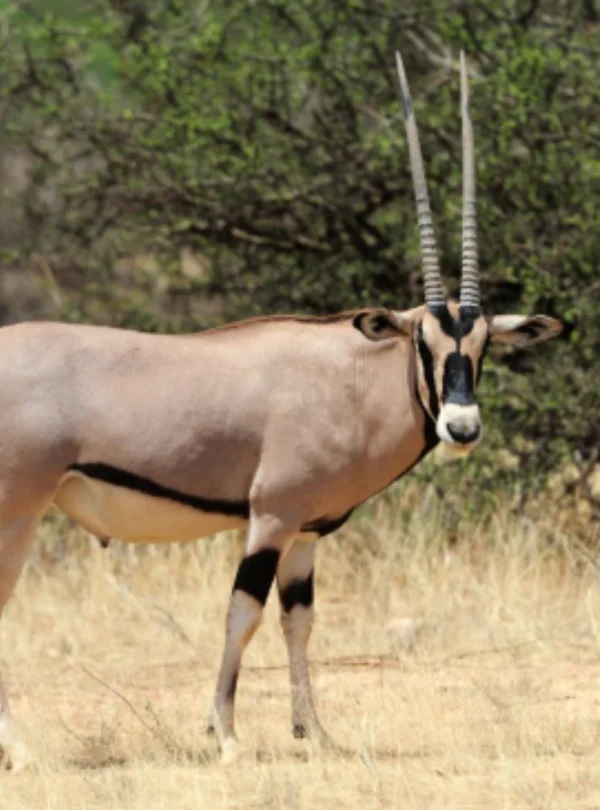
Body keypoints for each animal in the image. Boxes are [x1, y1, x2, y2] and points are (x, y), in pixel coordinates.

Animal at [0, 52, 562, 771]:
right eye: (423, 340)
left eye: (485, 342)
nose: (461, 427)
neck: (349, 378)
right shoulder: (268, 519)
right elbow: (243, 616)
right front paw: (226, 735)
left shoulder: (306, 533)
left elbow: (300, 621)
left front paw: (315, 732)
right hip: (18, 511)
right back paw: (21, 749)